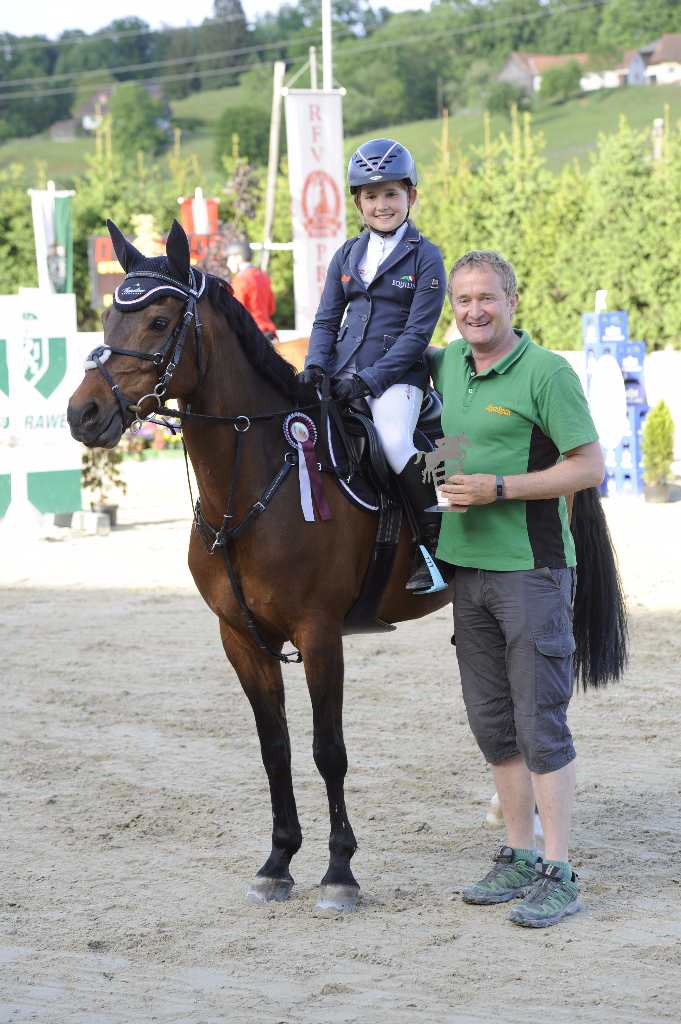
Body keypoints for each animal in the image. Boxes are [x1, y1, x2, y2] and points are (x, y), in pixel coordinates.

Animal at [67, 220, 626, 917]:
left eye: (161, 320)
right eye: (110, 315)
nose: (83, 414)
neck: (255, 482)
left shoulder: (320, 632)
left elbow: (327, 751)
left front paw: (339, 873)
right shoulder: (240, 639)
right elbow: (275, 749)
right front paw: (278, 862)